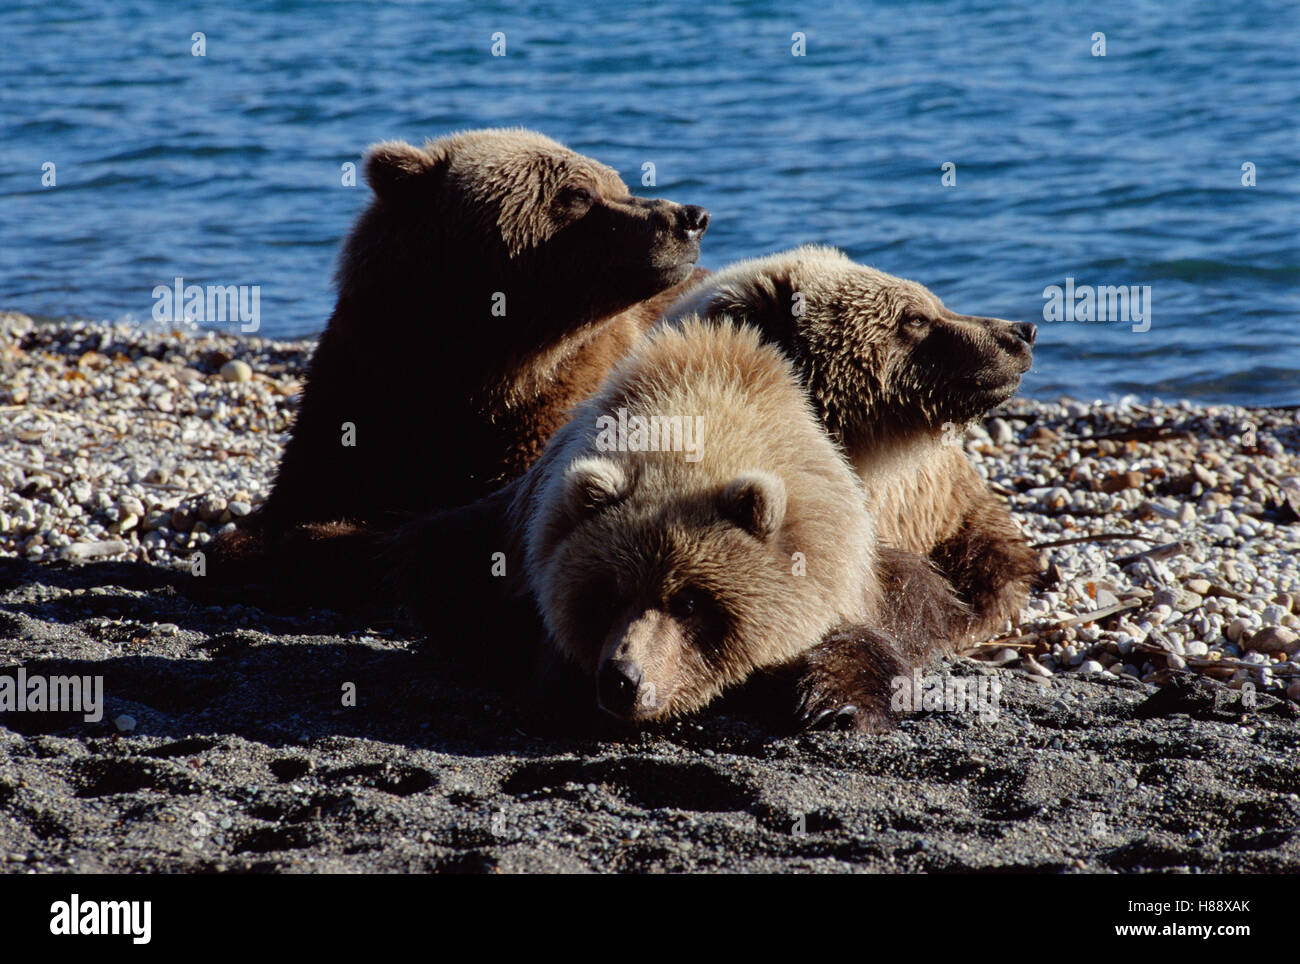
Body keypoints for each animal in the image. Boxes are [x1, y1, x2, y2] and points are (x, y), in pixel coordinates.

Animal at [209, 128, 708, 588]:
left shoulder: (555, 402)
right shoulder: (360, 380)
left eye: (617, 184)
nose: (692, 217)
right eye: (580, 193)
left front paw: (319, 536)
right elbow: (301, 492)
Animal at [375, 317, 966, 731]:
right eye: (608, 594)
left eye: (689, 601)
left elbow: (867, 640)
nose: (623, 679)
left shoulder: (842, 573)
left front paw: (829, 702)